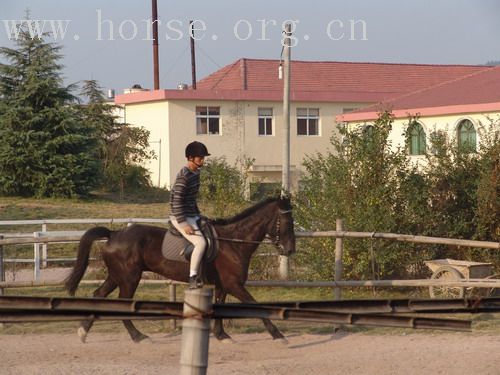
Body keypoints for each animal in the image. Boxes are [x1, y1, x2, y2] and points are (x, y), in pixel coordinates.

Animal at [64, 197, 294, 344]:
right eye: (287, 222)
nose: (290, 249)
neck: (233, 242)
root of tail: (114, 234)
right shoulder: (234, 285)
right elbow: (256, 307)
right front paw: (278, 336)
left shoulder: (223, 285)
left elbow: (220, 306)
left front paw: (222, 336)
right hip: (129, 279)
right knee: (121, 303)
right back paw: (138, 337)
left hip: (116, 276)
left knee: (99, 295)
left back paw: (83, 331)